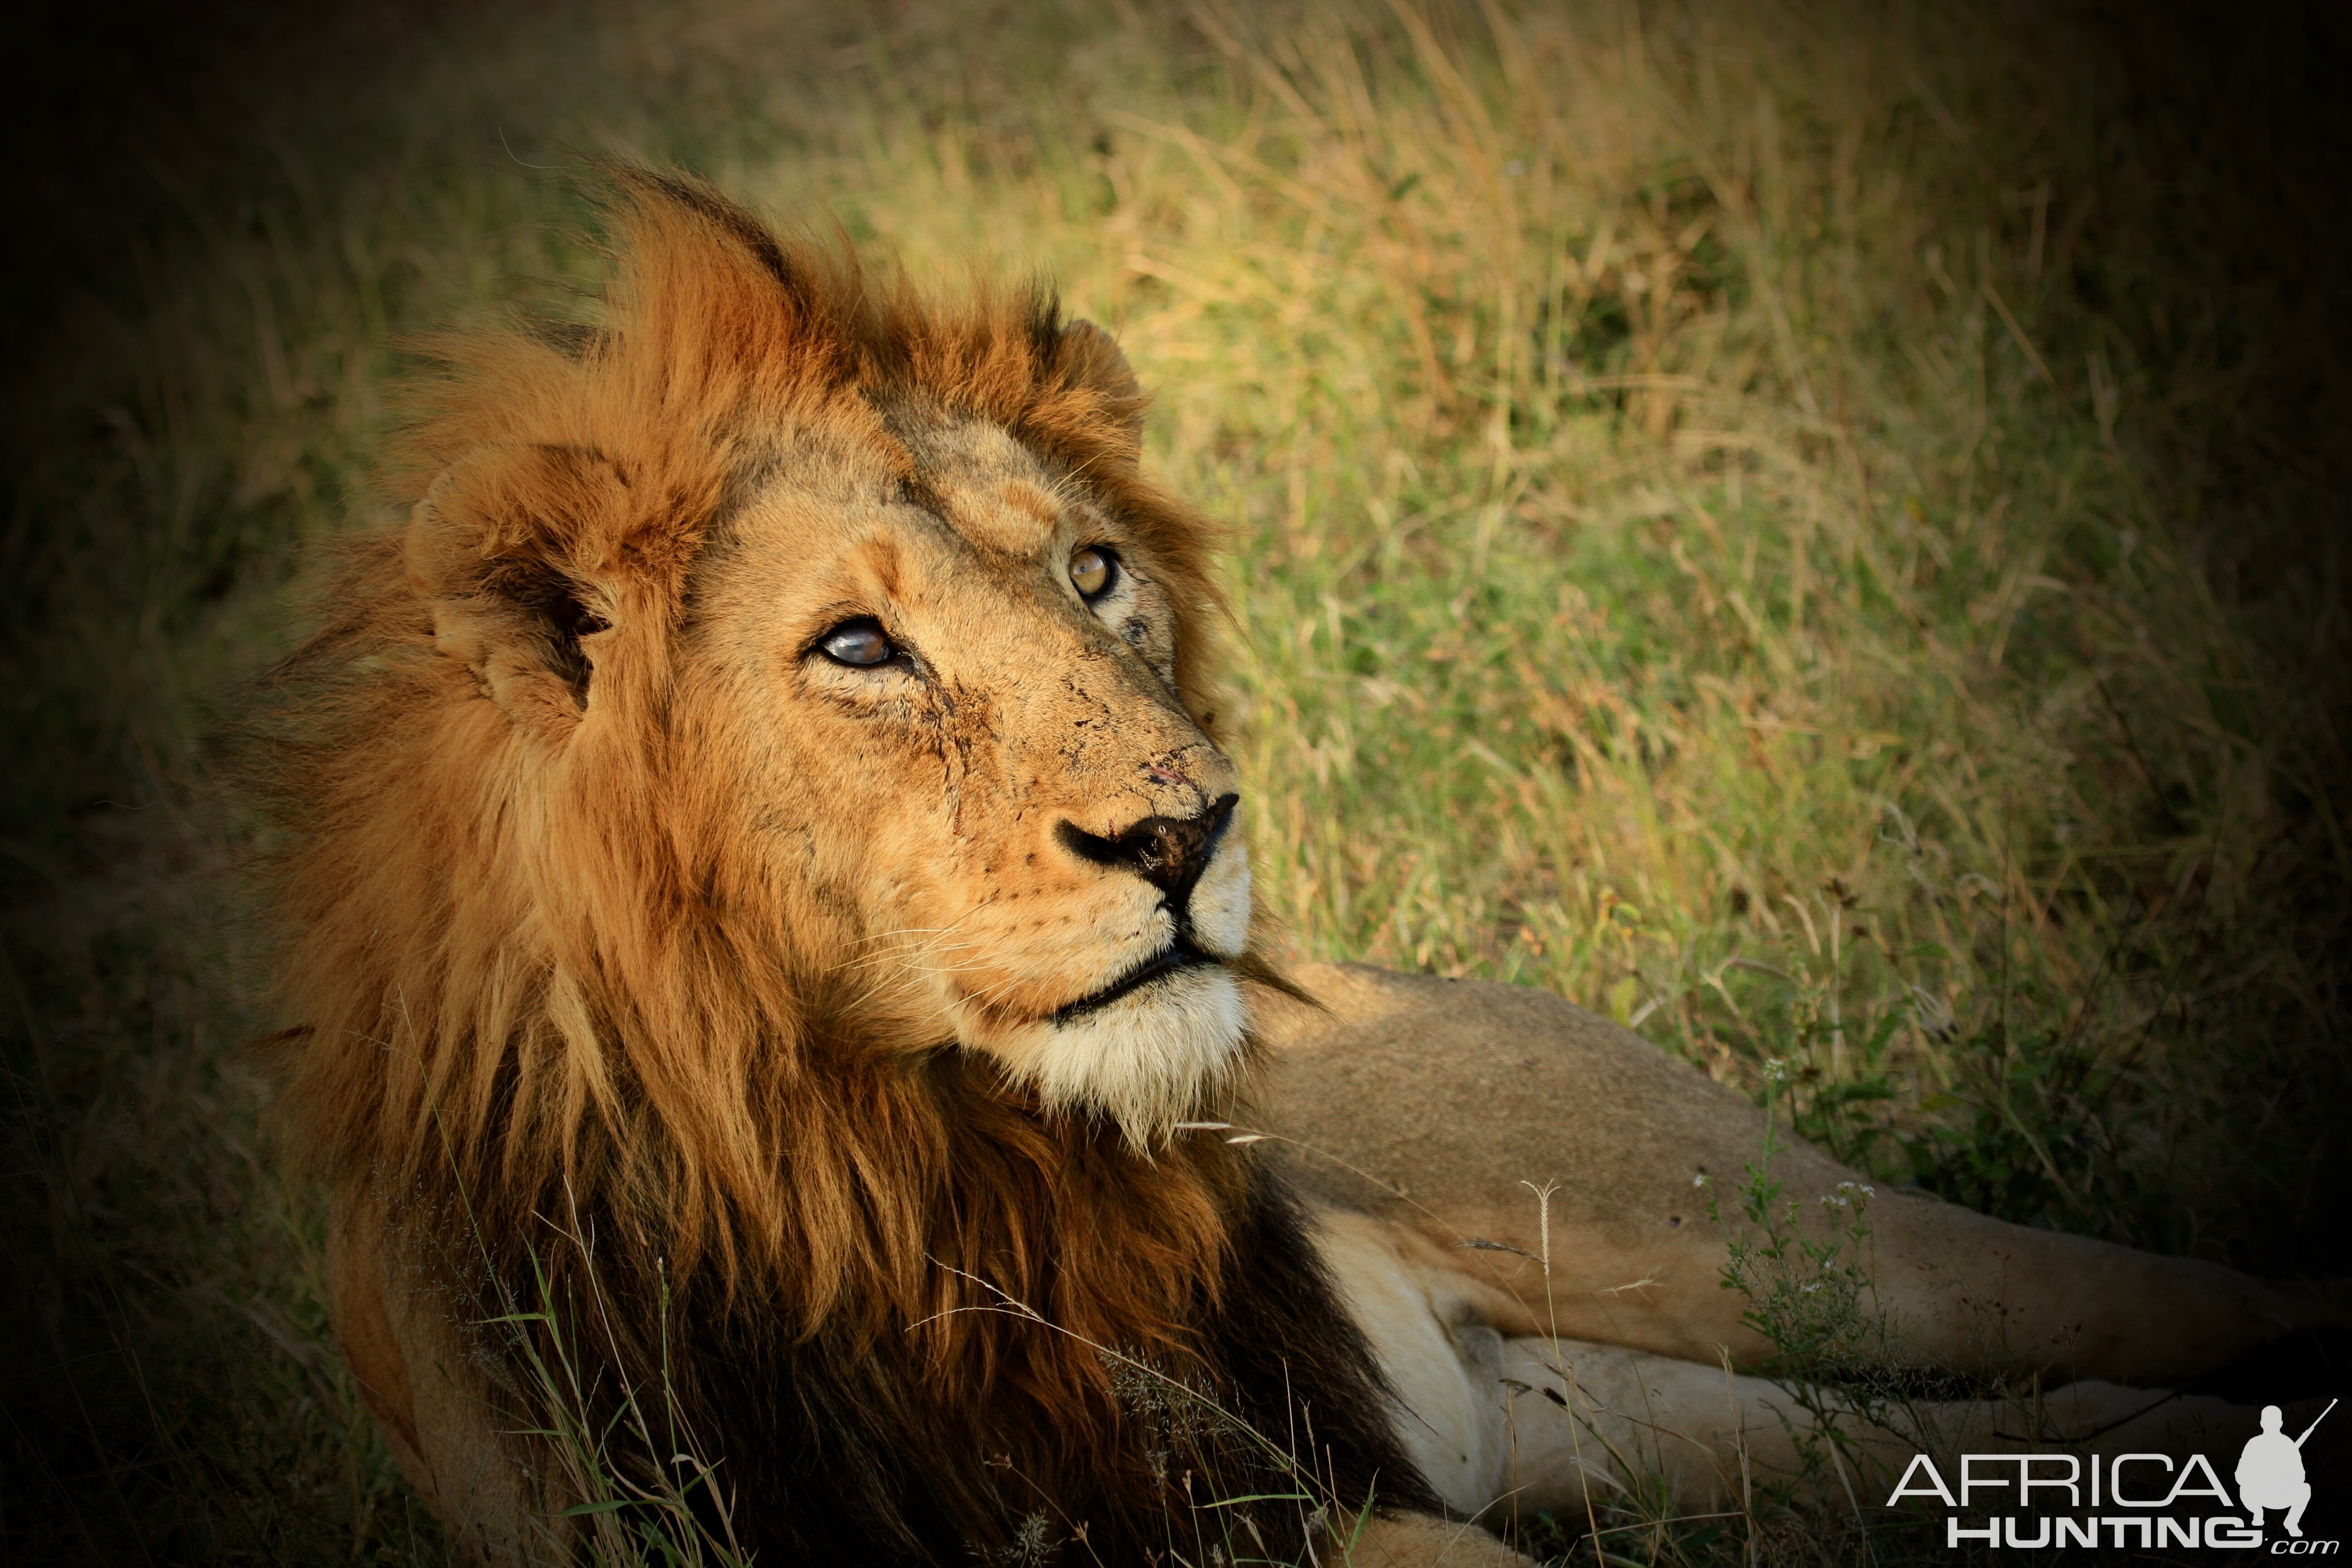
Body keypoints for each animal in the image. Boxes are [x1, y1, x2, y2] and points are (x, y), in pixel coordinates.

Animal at [275, 172, 2333, 1568]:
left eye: (1093, 571)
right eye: (857, 647)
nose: (1187, 833)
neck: (884, 1180)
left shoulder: (1268, 1485)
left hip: (1763, 1238)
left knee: (2150, 1300)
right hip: (1612, 1417)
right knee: (2026, 1431)